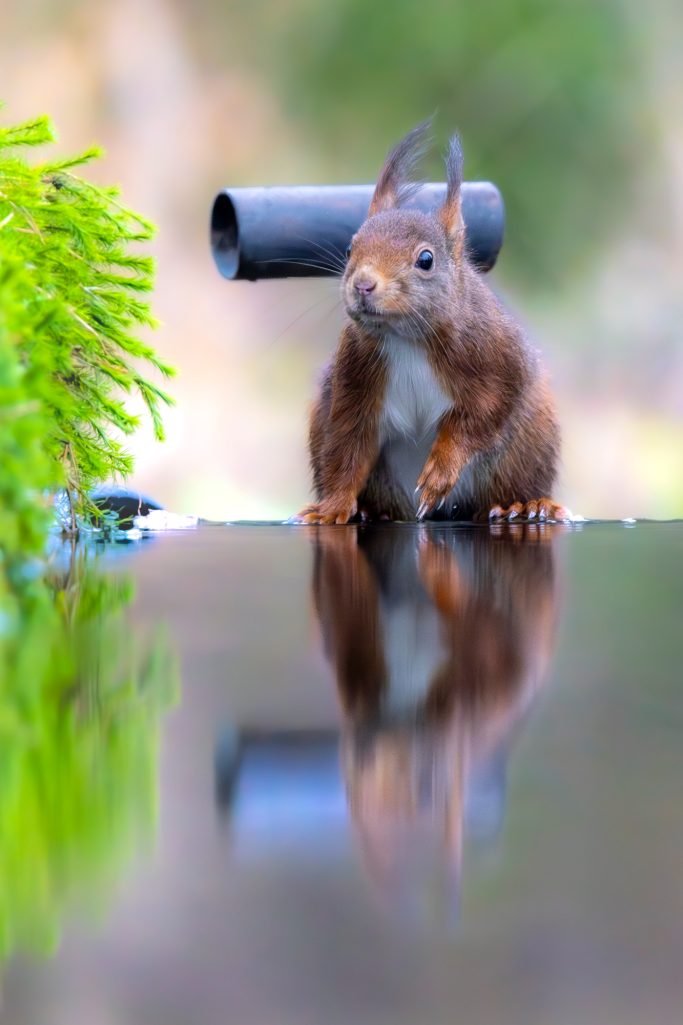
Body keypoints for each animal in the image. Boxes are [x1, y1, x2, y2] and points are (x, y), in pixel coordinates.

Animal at [295, 123, 566, 524]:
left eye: (426, 259)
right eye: (349, 249)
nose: (363, 285)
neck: (405, 337)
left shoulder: (496, 361)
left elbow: (481, 418)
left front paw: (440, 470)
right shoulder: (355, 382)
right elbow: (348, 449)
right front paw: (333, 507)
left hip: (528, 442)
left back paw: (526, 505)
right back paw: (370, 512)